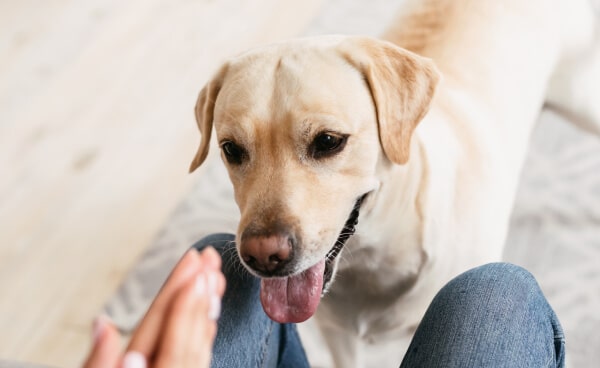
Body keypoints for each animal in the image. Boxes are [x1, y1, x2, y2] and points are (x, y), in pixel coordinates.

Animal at [189, 0, 600, 366]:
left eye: (328, 141)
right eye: (230, 149)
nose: (263, 256)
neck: (374, 253)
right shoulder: (338, 335)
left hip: (584, 100)